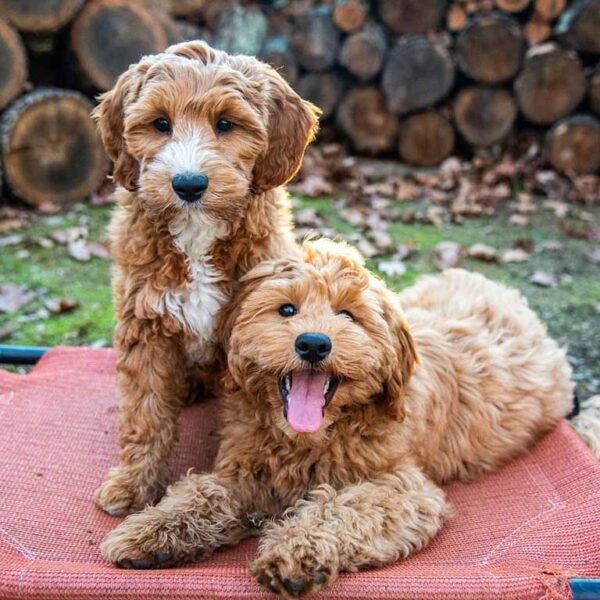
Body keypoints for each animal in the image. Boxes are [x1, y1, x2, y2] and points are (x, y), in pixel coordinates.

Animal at [92, 39, 318, 516]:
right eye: (160, 123)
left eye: (225, 123)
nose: (189, 184)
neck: (197, 235)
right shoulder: (144, 327)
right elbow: (145, 413)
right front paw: (134, 483)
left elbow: (243, 424)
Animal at [101, 239, 576, 596]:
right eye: (286, 309)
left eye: (348, 314)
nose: (314, 344)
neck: (307, 439)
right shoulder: (247, 473)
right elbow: (203, 493)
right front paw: (152, 530)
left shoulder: (405, 490)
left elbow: (341, 508)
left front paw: (296, 551)